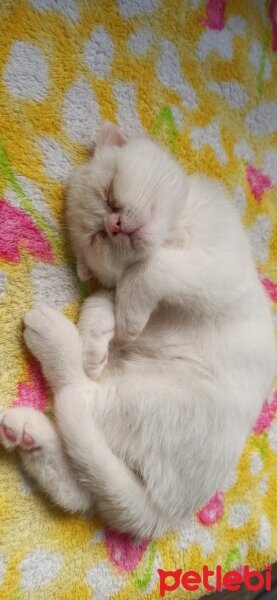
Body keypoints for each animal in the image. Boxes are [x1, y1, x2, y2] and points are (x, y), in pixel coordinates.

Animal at [1, 123, 274, 540]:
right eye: (96, 236)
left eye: (110, 193)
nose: (112, 224)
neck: (174, 234)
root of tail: (162, 515)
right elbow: (104, 296)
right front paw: (96, 341)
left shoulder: (220, 266)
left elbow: (151, 269)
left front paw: (125, 316)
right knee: (82, 475)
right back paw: (30, 427)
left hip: (153, 398)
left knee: (80, 410)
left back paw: (50, 344)